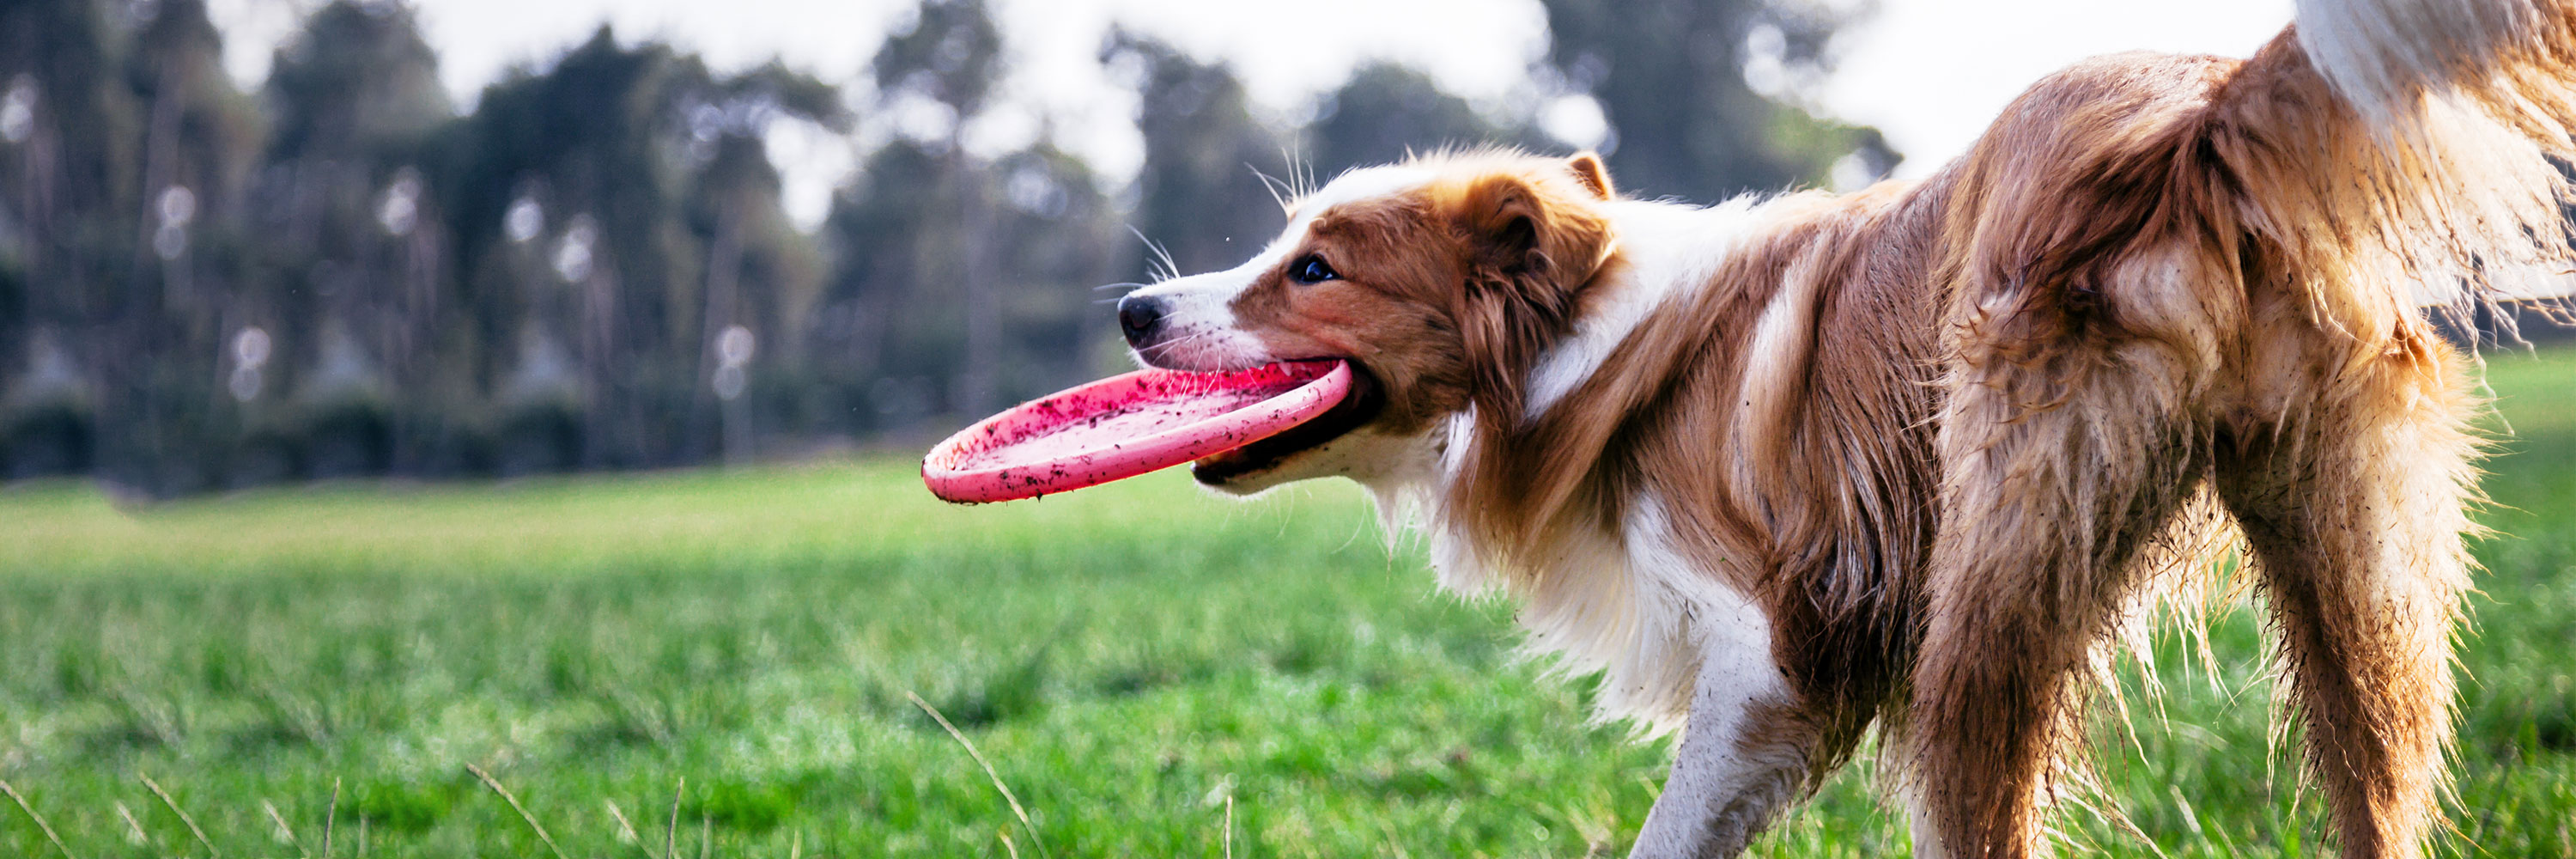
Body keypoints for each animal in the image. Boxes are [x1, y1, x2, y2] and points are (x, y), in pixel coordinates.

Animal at [1118, 3, 2576, 850]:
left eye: (1315, 269)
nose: (1134, 308)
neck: (1578, 347)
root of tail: (2188, 123)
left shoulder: (1768, 662)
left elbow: (1666, 832)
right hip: (2353, 586)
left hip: (1981, 604)